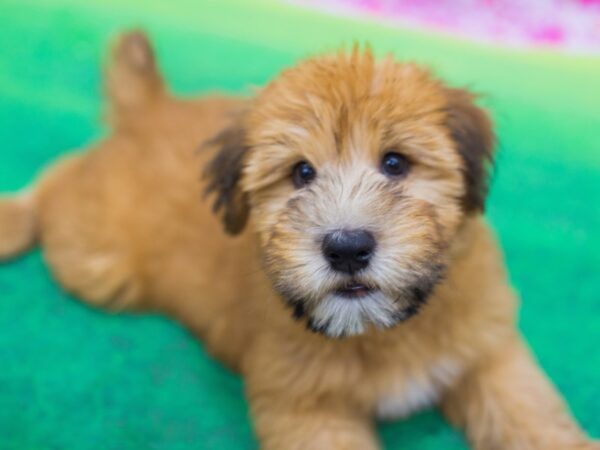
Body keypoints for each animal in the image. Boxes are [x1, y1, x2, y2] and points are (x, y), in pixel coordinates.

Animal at [0, 29, 596, 448]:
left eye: (396, 163)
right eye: (301, 173)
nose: (347, 248)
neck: (385, 332)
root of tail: (150, 109)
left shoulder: (490, 351)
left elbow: (531, 412)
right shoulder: (306, 408)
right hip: (95, 254)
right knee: (59, 182)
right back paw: (13, 217)